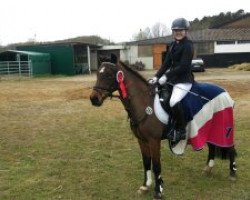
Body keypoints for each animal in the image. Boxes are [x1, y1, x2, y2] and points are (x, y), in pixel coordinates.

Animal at [89, 61, 236, 200]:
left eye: (109, 75)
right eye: (97, 74)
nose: (94, 99)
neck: (143, 103)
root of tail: (224, 91)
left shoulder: (154, 141)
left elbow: (156, 165)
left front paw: (158, 191)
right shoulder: (142, 140)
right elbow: (146, 162)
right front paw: (145, 186)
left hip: (223, 128)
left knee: (230, 147)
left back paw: (233, 173)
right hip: (208, 127)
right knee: (212, 146)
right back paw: (208, 169)